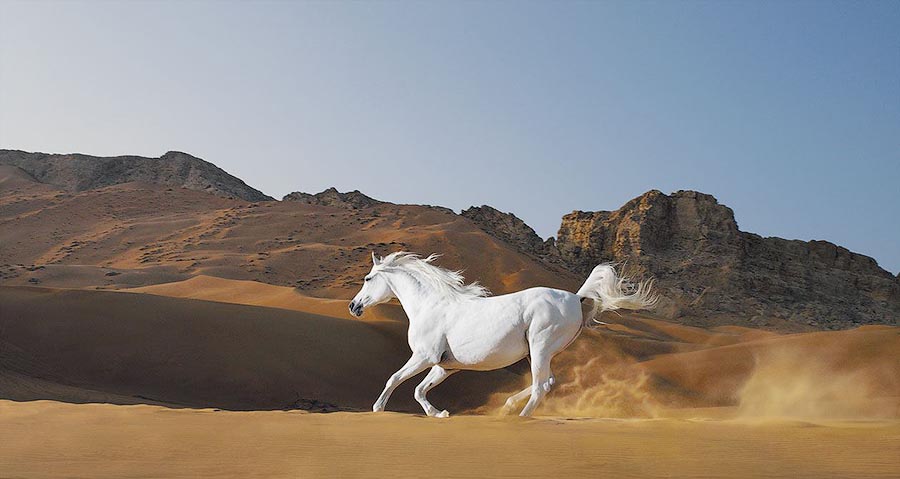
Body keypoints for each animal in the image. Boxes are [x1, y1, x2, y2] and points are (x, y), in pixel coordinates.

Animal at [348, 251, 658, 417]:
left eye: (367, 278)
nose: (353, 306)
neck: (430, 305)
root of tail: (575, 297)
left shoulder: (424, 356)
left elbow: (395, 379)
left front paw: (377, 409)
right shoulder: (445, 366)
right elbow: (419, 389)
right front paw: (440, 414)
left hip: (541, 346)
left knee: (540, 386)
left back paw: (517, 417)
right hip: (539, 352)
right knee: (547, 382)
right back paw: (507, 407)